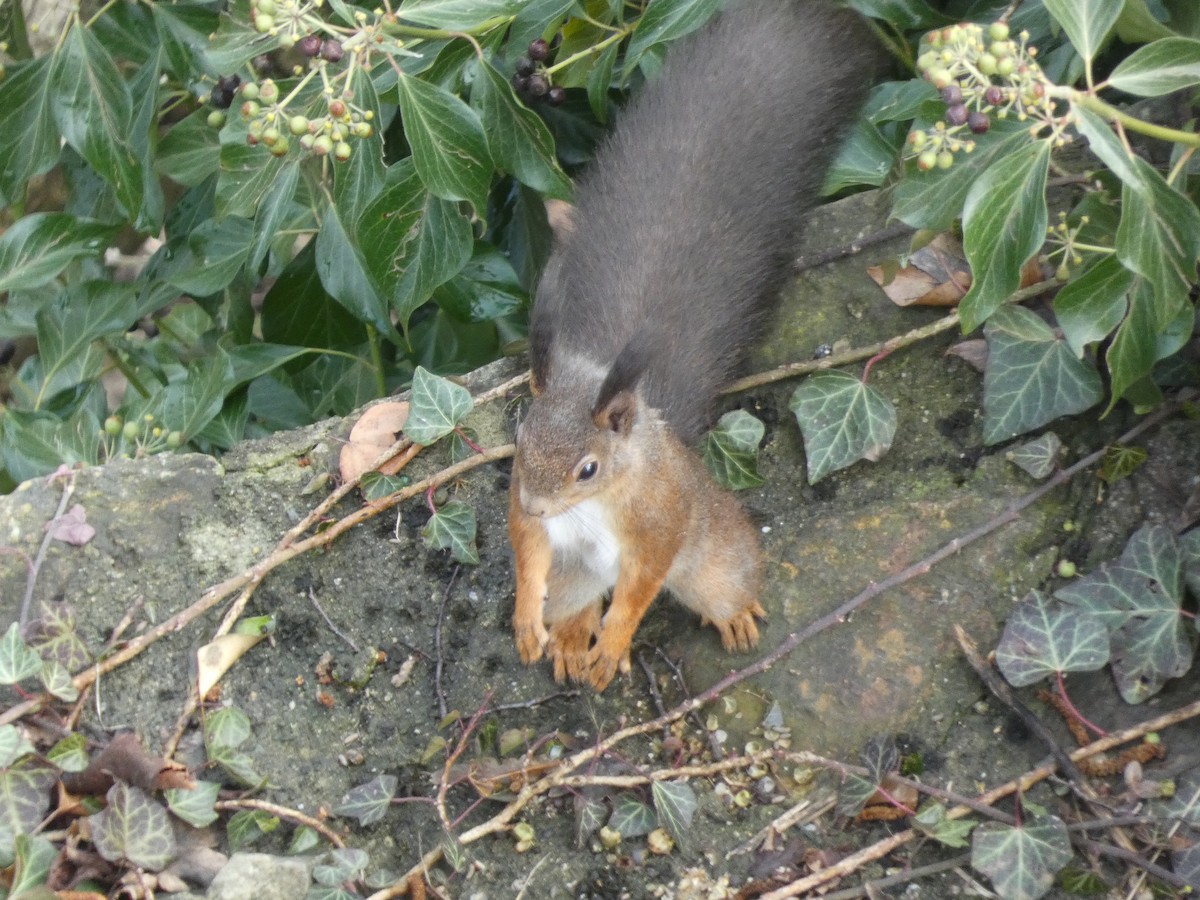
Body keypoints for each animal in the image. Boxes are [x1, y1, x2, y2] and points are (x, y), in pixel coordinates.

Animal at [508, 1, 878, 691]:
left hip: (712, 552)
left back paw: (729, 617)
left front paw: (615, 641)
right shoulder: (537, 523)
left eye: (588, 468)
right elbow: (528, 550)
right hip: (574, 578)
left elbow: (643, 582)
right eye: (519, 441)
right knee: (574, 600)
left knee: (718, 578)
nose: (539, 503)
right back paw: (569, 638)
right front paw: (527, 618)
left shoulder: (661, 522)